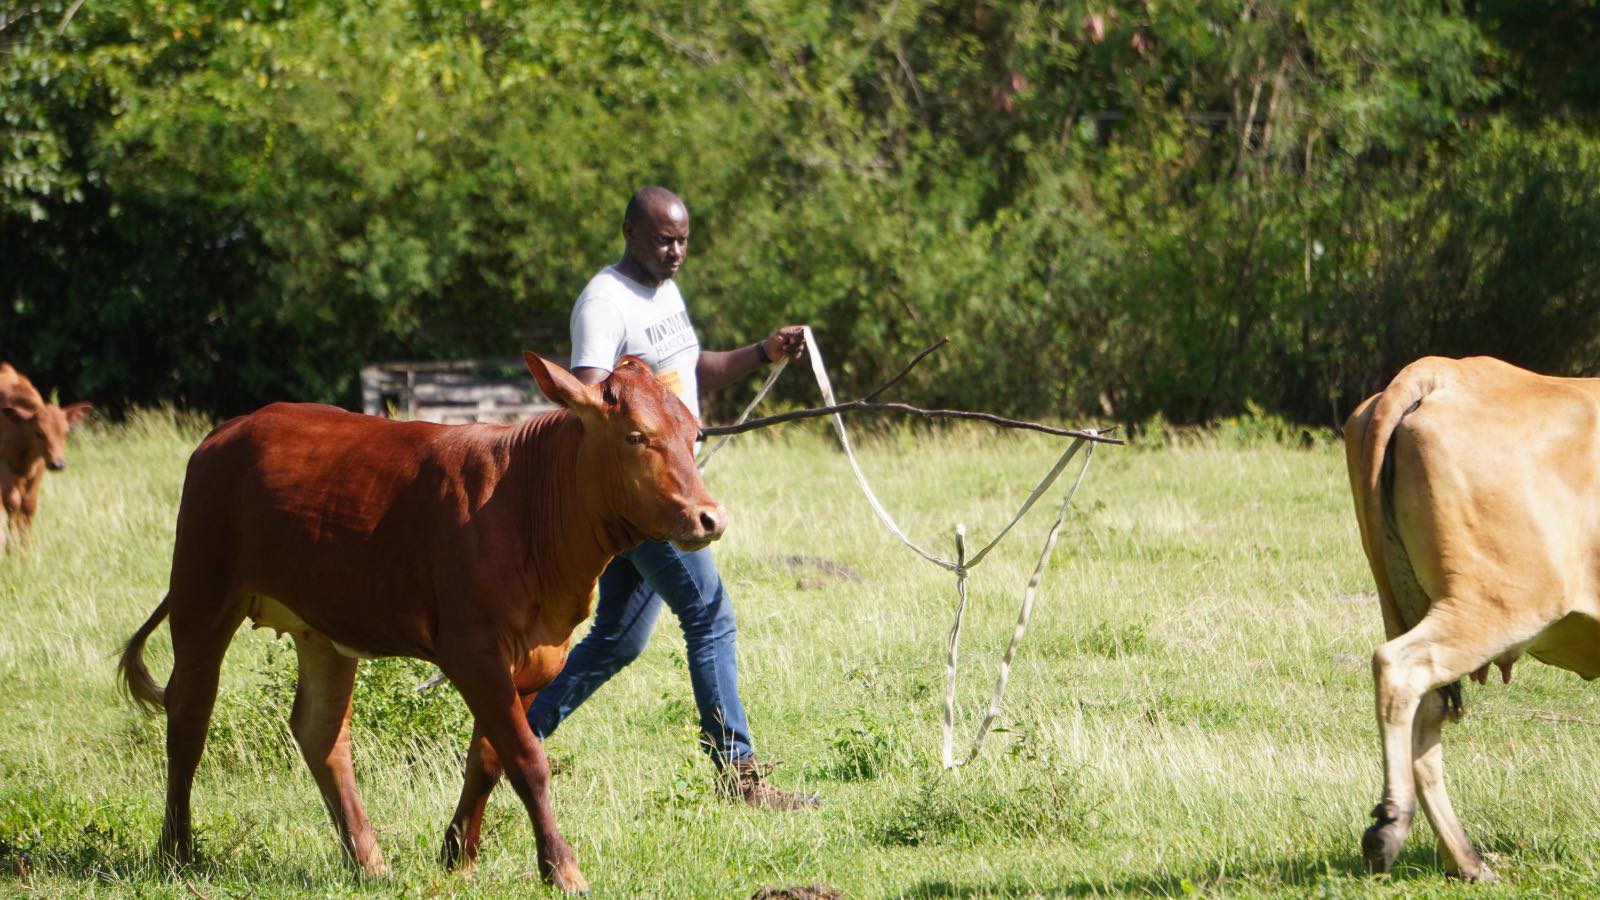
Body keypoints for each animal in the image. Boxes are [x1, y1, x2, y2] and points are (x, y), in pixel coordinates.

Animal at [0, 362, 93, 554]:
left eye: (66, 431)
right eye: (38, 432)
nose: (58, 464)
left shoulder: (40, 466)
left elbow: (28, 505)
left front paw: (25, 548)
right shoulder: (4, 464)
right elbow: (12, 502)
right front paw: (13, 547)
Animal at [117, 353, 724, 893]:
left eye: (693, 433)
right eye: (636, 436)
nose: (708, 517)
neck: (527, 509)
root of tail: (230, 430)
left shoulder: (539, 656)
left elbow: (489, 757)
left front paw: (457, 856)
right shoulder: (471, 649)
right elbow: (528, 759)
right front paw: (561, 867)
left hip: (323, 629)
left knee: (320, 731)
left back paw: (367, 860)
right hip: (203, 594)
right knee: (189, 715)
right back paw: (176, 851)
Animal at [1343, 355, 1600, 882]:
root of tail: (1442, 370)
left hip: (1405, 599)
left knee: (1427, 709)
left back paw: (1466, 860)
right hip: (1496, 602)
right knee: (1399, 668)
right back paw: (1391, 825)